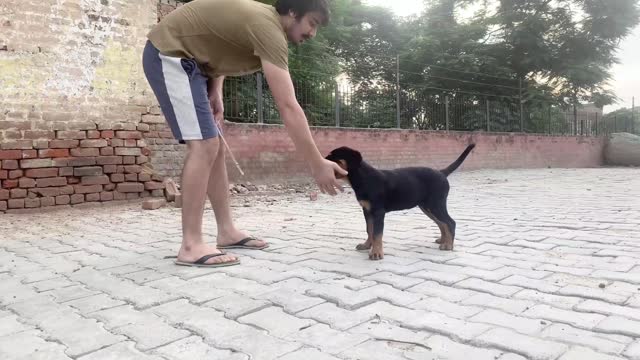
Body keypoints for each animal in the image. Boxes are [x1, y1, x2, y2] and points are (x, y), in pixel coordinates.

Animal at [324, 143, 476, 258]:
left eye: (333, 157)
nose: (323, 160)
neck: (363, 178)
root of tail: (442, 172)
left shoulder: (378, 212)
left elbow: (377, 233)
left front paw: (376, 253)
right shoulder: (367, 211)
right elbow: (370, 230)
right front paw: (367, 245)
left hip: (436, 204)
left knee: (450, 222)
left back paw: (449, 245)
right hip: (427, 207)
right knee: (442, 223)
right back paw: (443, 240)